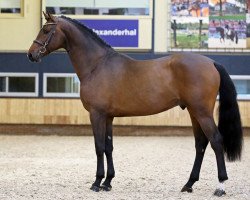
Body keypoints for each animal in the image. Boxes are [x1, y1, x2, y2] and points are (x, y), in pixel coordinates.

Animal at [27, 12, 242, 197]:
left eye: (45, 30)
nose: (31, 54)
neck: (97, 65)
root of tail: (211, 62)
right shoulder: (108, 117)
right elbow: (108, 147)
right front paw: (108, 182)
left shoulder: (96, 114)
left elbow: (98, 147)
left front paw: (97, 182)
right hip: (193, 112)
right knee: (201, 144)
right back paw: (188, 184)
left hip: (202, 112)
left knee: (216, 141)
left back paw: (220, 186)